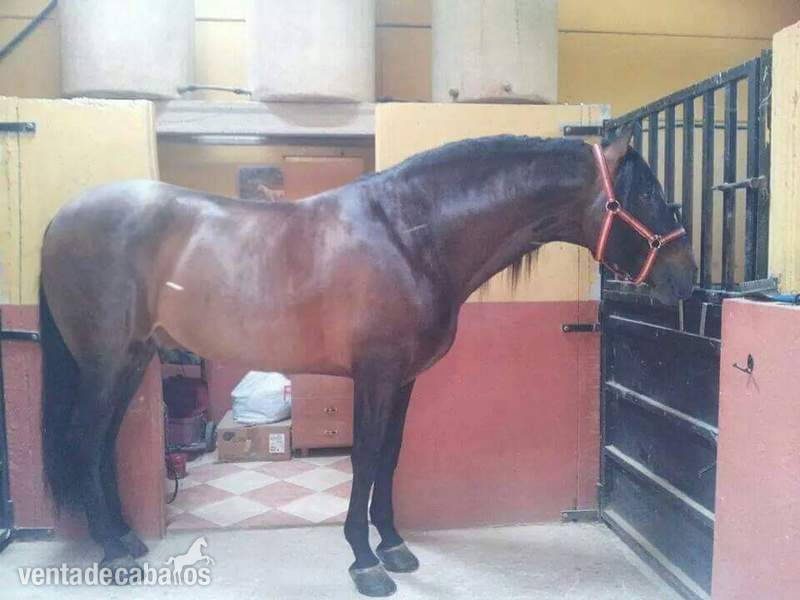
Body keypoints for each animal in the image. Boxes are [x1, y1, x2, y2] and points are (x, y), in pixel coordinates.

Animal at [39, 125, 696, 597]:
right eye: (643, 195)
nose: (687, 279)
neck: (409, 235)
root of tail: (60, 220)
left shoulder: (401, 379)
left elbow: (390, 457)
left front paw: (394, 546)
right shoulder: (374, 376)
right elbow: (365, 457)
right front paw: (362, 560)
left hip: (130, 361)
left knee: (101, 445)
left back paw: (125, 540)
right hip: (106, 363)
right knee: (84, 441)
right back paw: (112, 553)